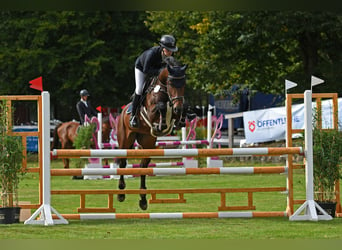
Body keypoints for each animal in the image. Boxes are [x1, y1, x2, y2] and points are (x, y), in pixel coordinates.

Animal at [117, 56, 187, 209]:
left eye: (184, 83)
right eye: (171, 83)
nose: (178, 108)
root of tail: (123, 111)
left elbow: (181, 110)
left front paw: (180, 119)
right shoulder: (150, 112)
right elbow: (160, 107)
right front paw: (162, 124)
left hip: (147, 141)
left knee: (143, 166)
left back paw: (143, 199)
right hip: (125, 140)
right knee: (123, 163)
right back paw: (120, 193)